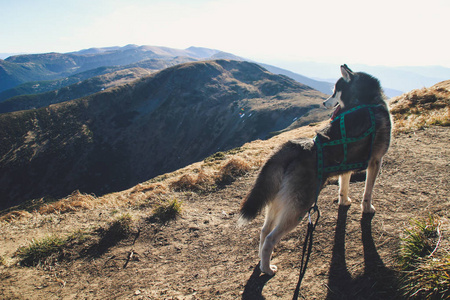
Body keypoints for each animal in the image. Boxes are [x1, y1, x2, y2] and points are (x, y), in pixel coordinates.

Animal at [239, 64, 390, 276]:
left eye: (335, 90)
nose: (324, 102)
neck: (365, 102)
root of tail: (296, 147)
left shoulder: (347, 165)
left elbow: (343, 186)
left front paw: (344, 201)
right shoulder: (376, 161)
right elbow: (368, 192)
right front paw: (367, 209)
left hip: (278, 201)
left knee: (263, 231)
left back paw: (262, 263)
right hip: (299, 207)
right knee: (270, 238)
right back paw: (268, 269)